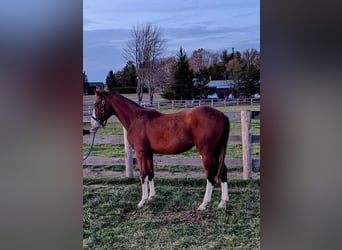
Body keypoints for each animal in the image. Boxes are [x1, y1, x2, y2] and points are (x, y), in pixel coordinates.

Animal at [91, 91, 230, 210]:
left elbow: (143, 174)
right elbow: (150, 173)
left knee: (210, 174)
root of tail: (222, 115)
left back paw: (204, 204)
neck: (135, 118)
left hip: (207, 153)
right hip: (216, 152)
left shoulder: (140, 152)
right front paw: (151, 197)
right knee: (223, 171)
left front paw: (142, 201)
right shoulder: (148, 153)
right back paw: (223, 202)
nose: (93, 126)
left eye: (96, 104)